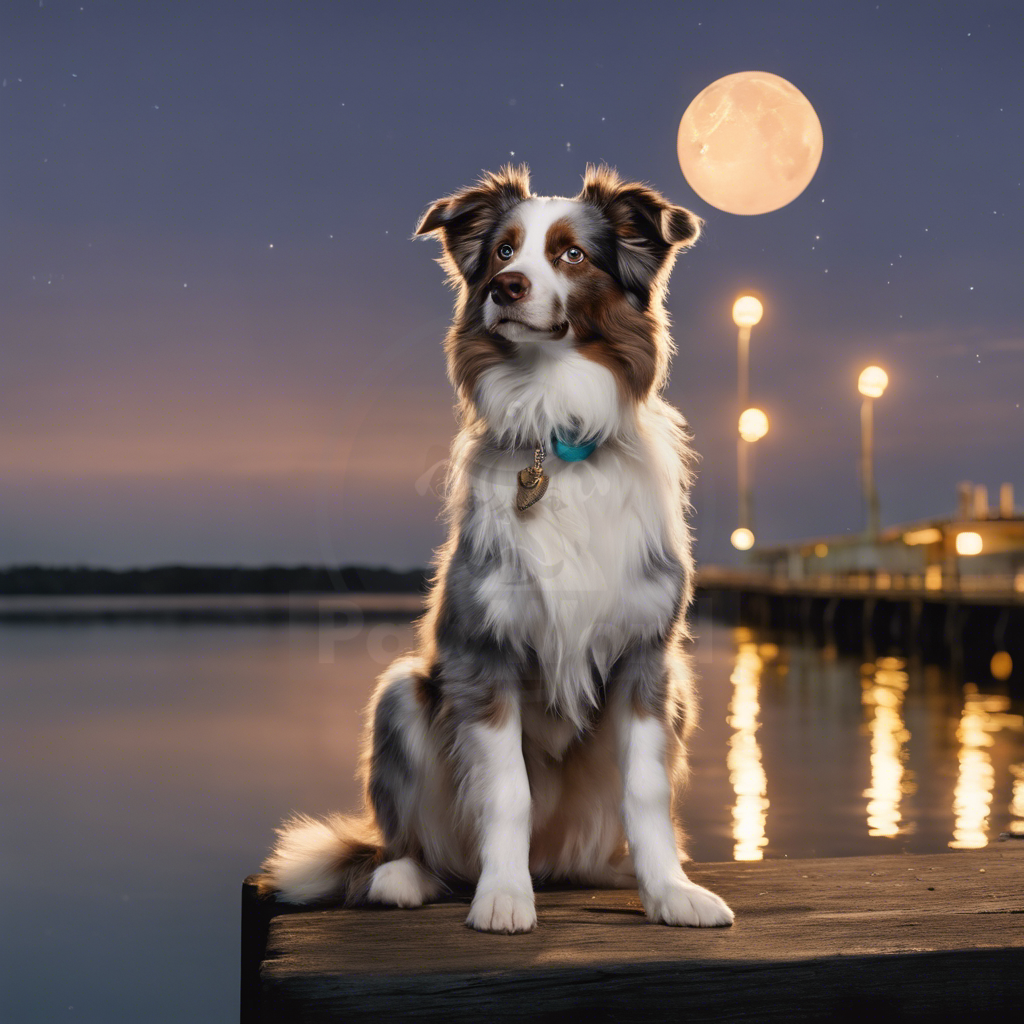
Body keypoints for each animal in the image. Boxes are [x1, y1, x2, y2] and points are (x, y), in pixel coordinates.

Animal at [260, 163, 733, 933]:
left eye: (571, 254)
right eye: (505, 251)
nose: (506, 287)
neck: (557, 428)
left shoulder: (647, 662)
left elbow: (646, 792)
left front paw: (670, 893)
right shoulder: (485, 658)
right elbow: (506, 790)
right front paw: (504, 897)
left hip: (680, 699)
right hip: (400, 694)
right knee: (407, 841)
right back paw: (406, 878)